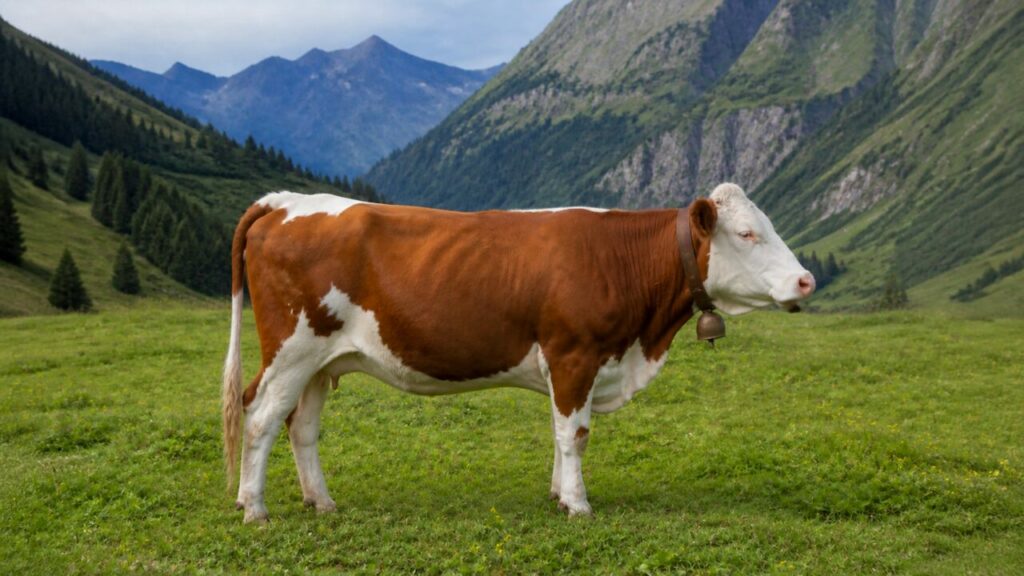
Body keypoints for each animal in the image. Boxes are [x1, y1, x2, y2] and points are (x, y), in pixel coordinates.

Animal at [223, 183, 815, 523]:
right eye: (748, 233)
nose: (807, 280)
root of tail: (286, 201)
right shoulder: (575, 354)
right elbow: (575, 434)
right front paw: (578, 504)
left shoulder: (569, 366)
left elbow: (559, 432)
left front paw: (558, 494)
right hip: (291, 350)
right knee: (261, 417)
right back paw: (254, 507)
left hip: (319, 363)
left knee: (301, 426)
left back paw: (319, 501)